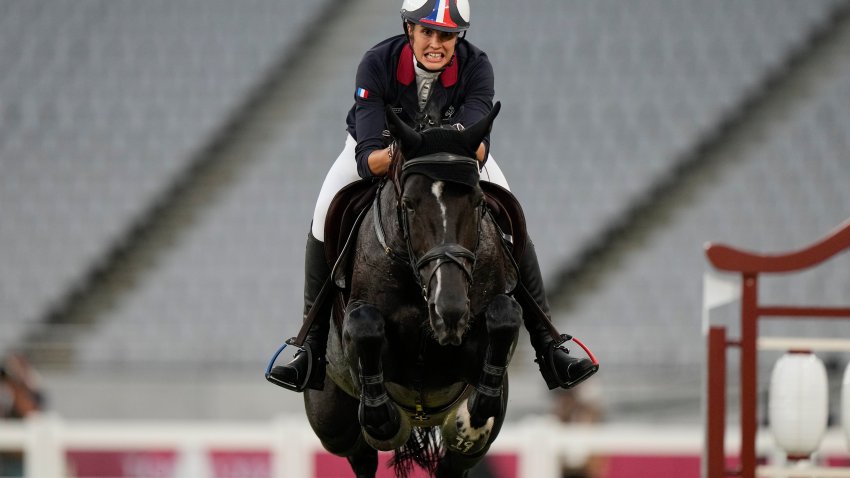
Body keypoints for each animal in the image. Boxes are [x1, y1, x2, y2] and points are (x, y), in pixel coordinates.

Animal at [302, 102, 520, 476]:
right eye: (408, 204)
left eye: (478, 202)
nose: (449, 312)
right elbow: (365, 327)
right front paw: (383, 418)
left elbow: (505, 316)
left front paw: (472, 419)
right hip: (331, 421)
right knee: (359, 453)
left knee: (454, 464)